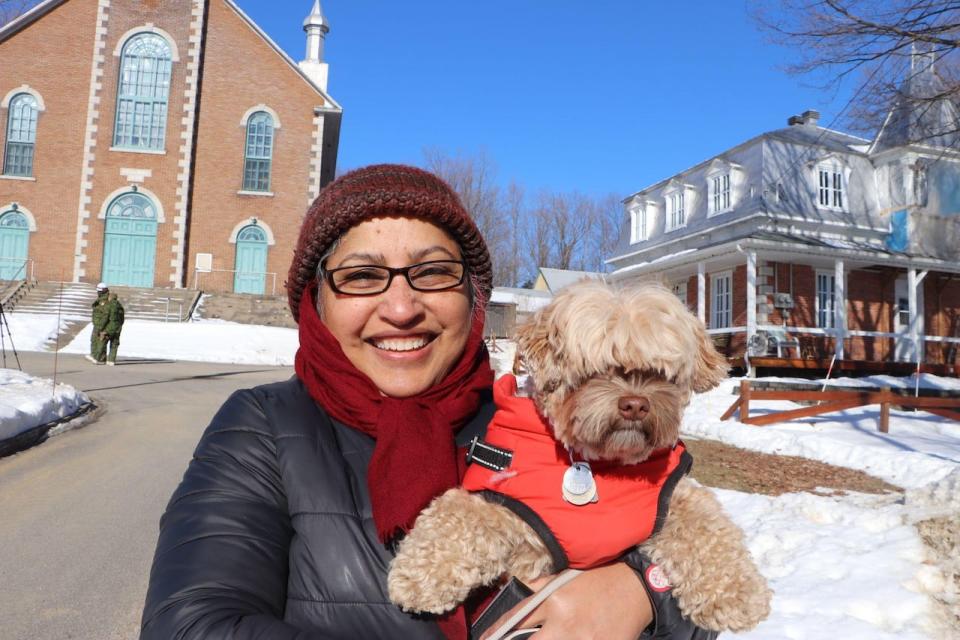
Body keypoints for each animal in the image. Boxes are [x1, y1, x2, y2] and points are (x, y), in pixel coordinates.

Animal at [386, 282, 768, 632]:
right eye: (595, 372)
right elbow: (460, 511)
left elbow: (706, 524)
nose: (635, 405)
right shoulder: (505, 504)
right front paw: (416, 578)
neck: (598, 463)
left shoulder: (672, 494)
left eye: (658, 374)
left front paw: (739, 595)